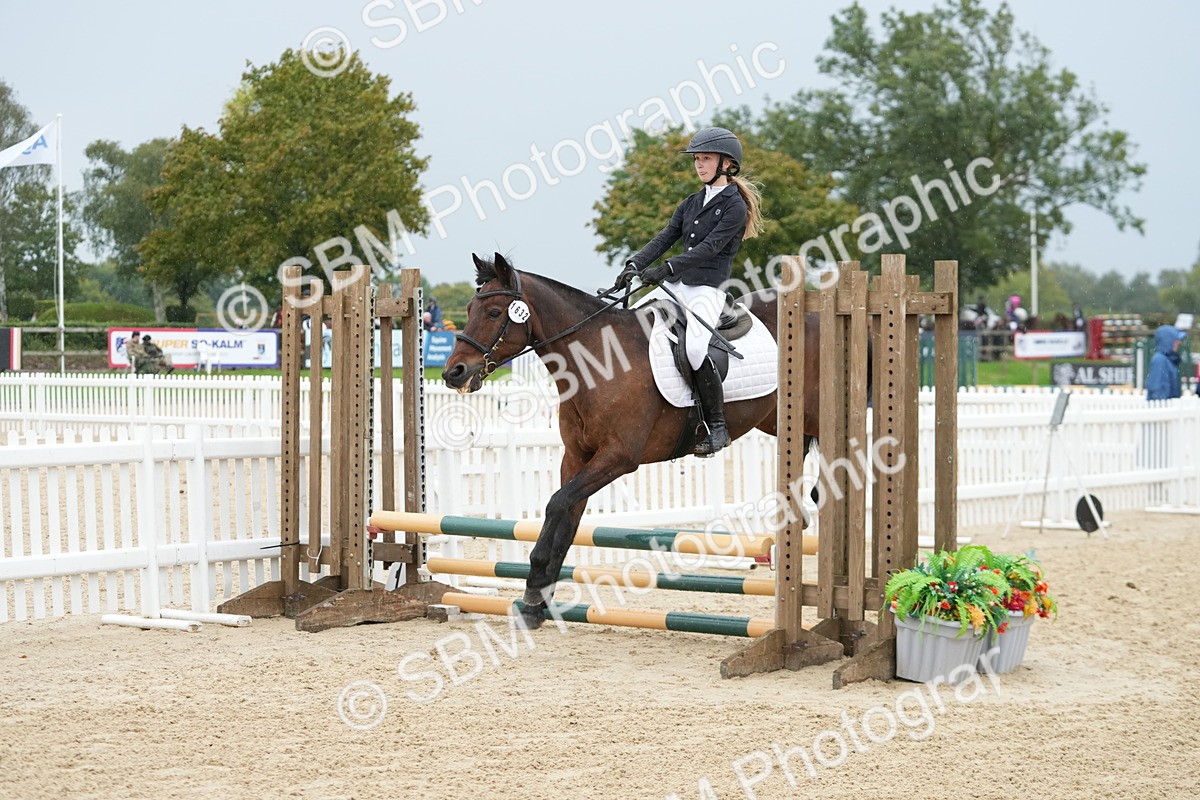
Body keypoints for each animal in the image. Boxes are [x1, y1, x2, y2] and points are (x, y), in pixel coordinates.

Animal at [441, 253, 819, 629]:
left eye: (494, 313)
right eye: (469, 309)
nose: (453, 373)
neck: (598, 361)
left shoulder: (618, 458)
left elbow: (556, 504)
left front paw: (535, 589)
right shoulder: (576, 457)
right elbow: (567, 514)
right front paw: (536, 600)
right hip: (777, 421)